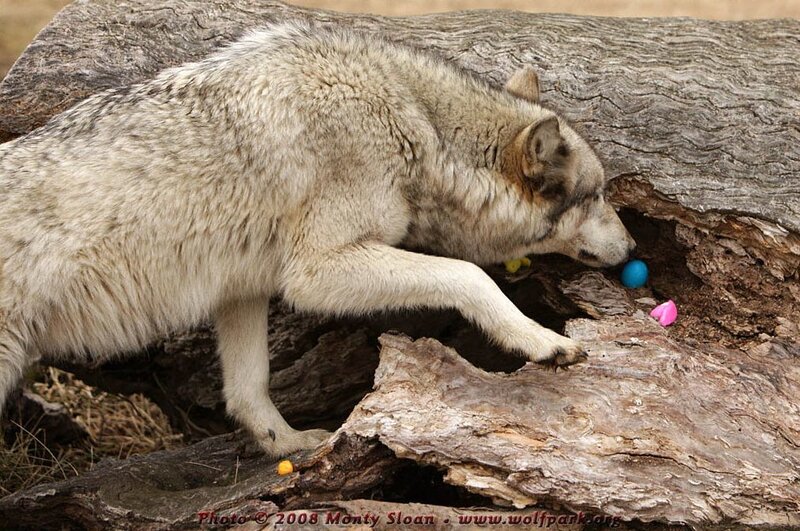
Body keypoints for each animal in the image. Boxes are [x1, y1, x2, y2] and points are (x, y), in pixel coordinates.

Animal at [0, 21, 635, 456]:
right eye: (599, 195)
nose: (633, 250)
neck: (415, 123)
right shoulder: (315, 274)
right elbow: (469, 275)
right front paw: (543, 342)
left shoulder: (243, 289)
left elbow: (248, 389)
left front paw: (287, 447)